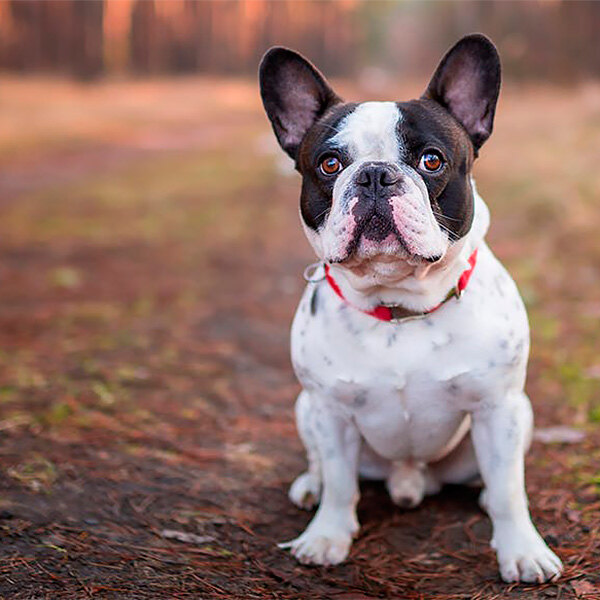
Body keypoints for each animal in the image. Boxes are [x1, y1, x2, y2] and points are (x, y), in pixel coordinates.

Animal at [258, 34, 564, 584]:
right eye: (330, 165)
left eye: (431, 161)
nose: (376, 176)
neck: (398, 307)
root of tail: (409, 478)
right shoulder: (331, 414)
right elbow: (340, 482)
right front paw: (326, 536)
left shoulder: (498, 408)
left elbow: (510, 490)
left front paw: (523, 550)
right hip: (305, 408)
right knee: (322, 466)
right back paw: (310, 488)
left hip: (519, 414)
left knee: (495, 480)